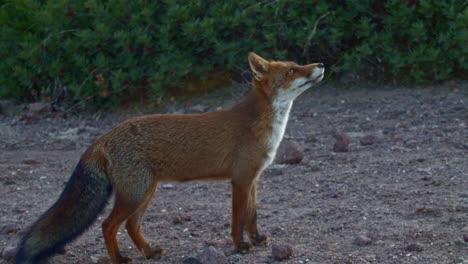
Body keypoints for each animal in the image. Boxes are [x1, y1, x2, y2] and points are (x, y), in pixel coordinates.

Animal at [13, 52, 322, 264]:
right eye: (292, 70)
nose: (319, 65)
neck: (262, 126)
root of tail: (103, 137)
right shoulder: (240, 181)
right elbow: (237, 219)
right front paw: (240, 247)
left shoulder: (253, 180)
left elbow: (252, 216)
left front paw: (256, 240)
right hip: (135, 193)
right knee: (108, 225)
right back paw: (119, 259)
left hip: (146, 191)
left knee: (131, 225)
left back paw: (149, 252)